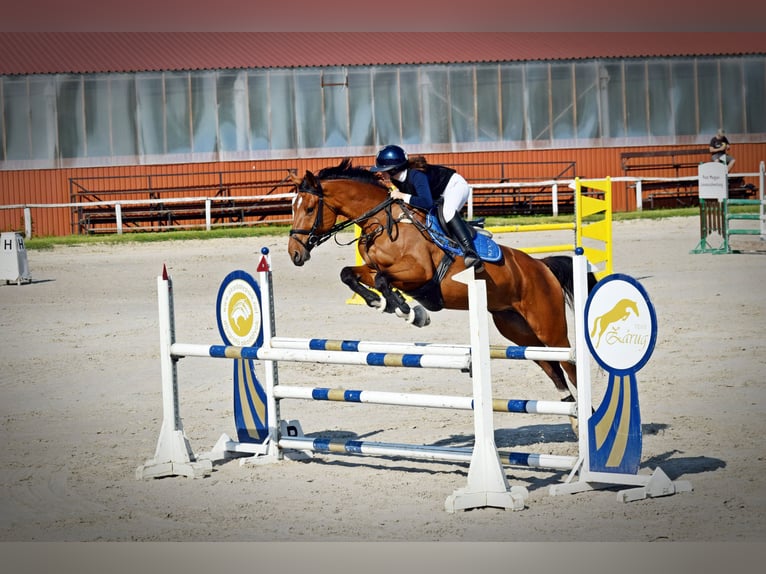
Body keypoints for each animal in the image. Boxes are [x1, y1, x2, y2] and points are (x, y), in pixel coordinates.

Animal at [288, 160, 600, 408]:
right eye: (293, 208)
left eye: (310, 208)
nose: (295, 254)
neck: (380, 221)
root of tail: (541, 266)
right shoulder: (374, 267)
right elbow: (350, 274)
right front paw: (381, 302)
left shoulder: (418, 273)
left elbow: (383, 279)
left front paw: (408, 311)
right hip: (517, 329)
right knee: (552, 367)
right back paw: (571, 413)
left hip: (549, 328)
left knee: (568, 364)